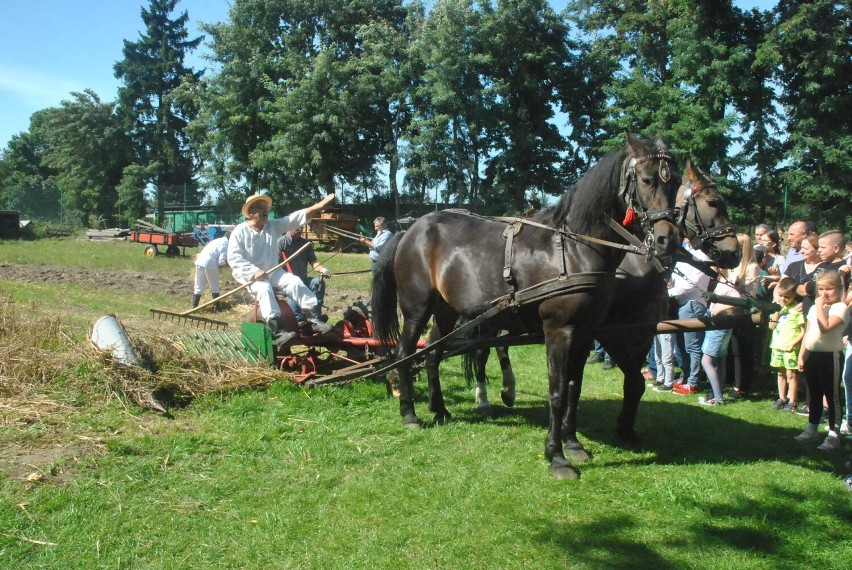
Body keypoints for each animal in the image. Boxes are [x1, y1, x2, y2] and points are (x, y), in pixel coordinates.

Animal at [372, 133, 680, 474]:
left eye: (677, 182)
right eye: (647, 180)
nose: (668, 239)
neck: (572, 247)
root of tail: (408, 230)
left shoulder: (585, 332)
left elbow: (574, 387)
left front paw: (574, 445)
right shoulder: (559, 330)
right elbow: (557, 391)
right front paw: (556, 457)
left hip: (446, 311)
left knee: (432, 353)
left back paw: (439, 409)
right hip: (416, 308)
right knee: (405, 354)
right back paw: (410, 414)